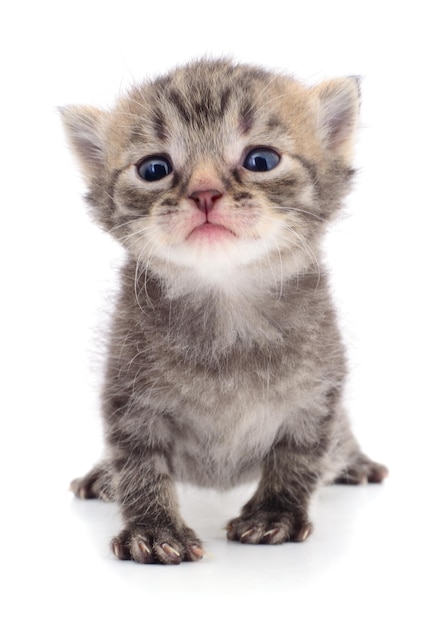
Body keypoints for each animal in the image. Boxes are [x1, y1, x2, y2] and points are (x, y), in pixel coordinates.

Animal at [60, 58, 386, 564]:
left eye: (261, 160)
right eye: (154, 168)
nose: (206, 193)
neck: (226, 302)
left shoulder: (317, 395)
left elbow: (299, 455)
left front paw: (274, 514)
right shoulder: (128, 398)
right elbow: (137, 462)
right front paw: (153, 528)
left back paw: (356, 463)